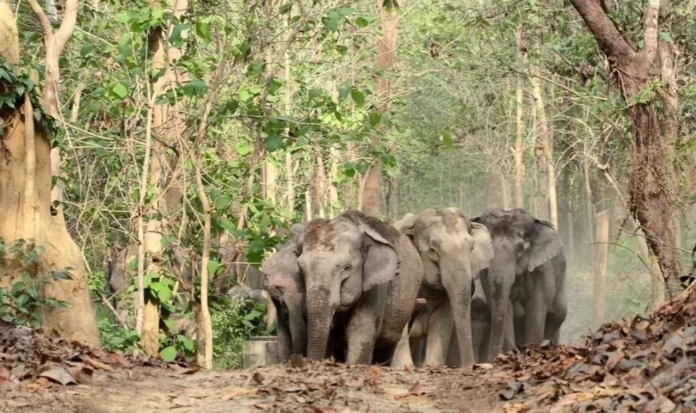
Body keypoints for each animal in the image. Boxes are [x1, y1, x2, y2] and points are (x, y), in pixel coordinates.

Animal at [395, 208, 494, 368]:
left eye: (472, 248)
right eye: (432, 250)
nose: (471, 366)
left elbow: (442, 320)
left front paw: (432, 366)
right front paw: (403, 367)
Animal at [472, 208, 567, 361]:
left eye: (520, 249)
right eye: (487, 248)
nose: (492, 359)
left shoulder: (542, 269)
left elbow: (536, 307)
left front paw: (531, 352)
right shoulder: (485, 276)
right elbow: (506, 308)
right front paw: (513, 354)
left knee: (556, 317)